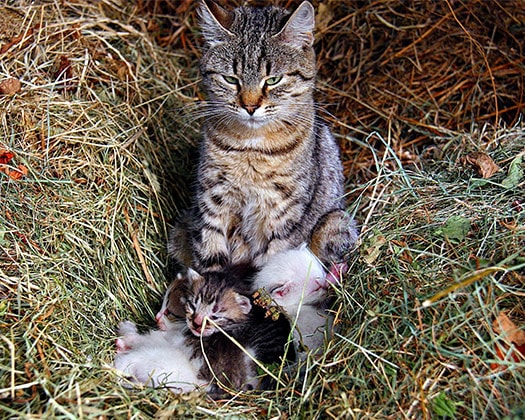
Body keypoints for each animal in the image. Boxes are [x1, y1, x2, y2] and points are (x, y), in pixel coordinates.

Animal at [170, 0, 358, 274]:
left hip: (336, 222)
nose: (250, 106)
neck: (251, 147)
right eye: (230, 79)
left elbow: (271, 261)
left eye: (273, 80)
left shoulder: (282, 214)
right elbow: (210, 257)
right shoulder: (212, 201)